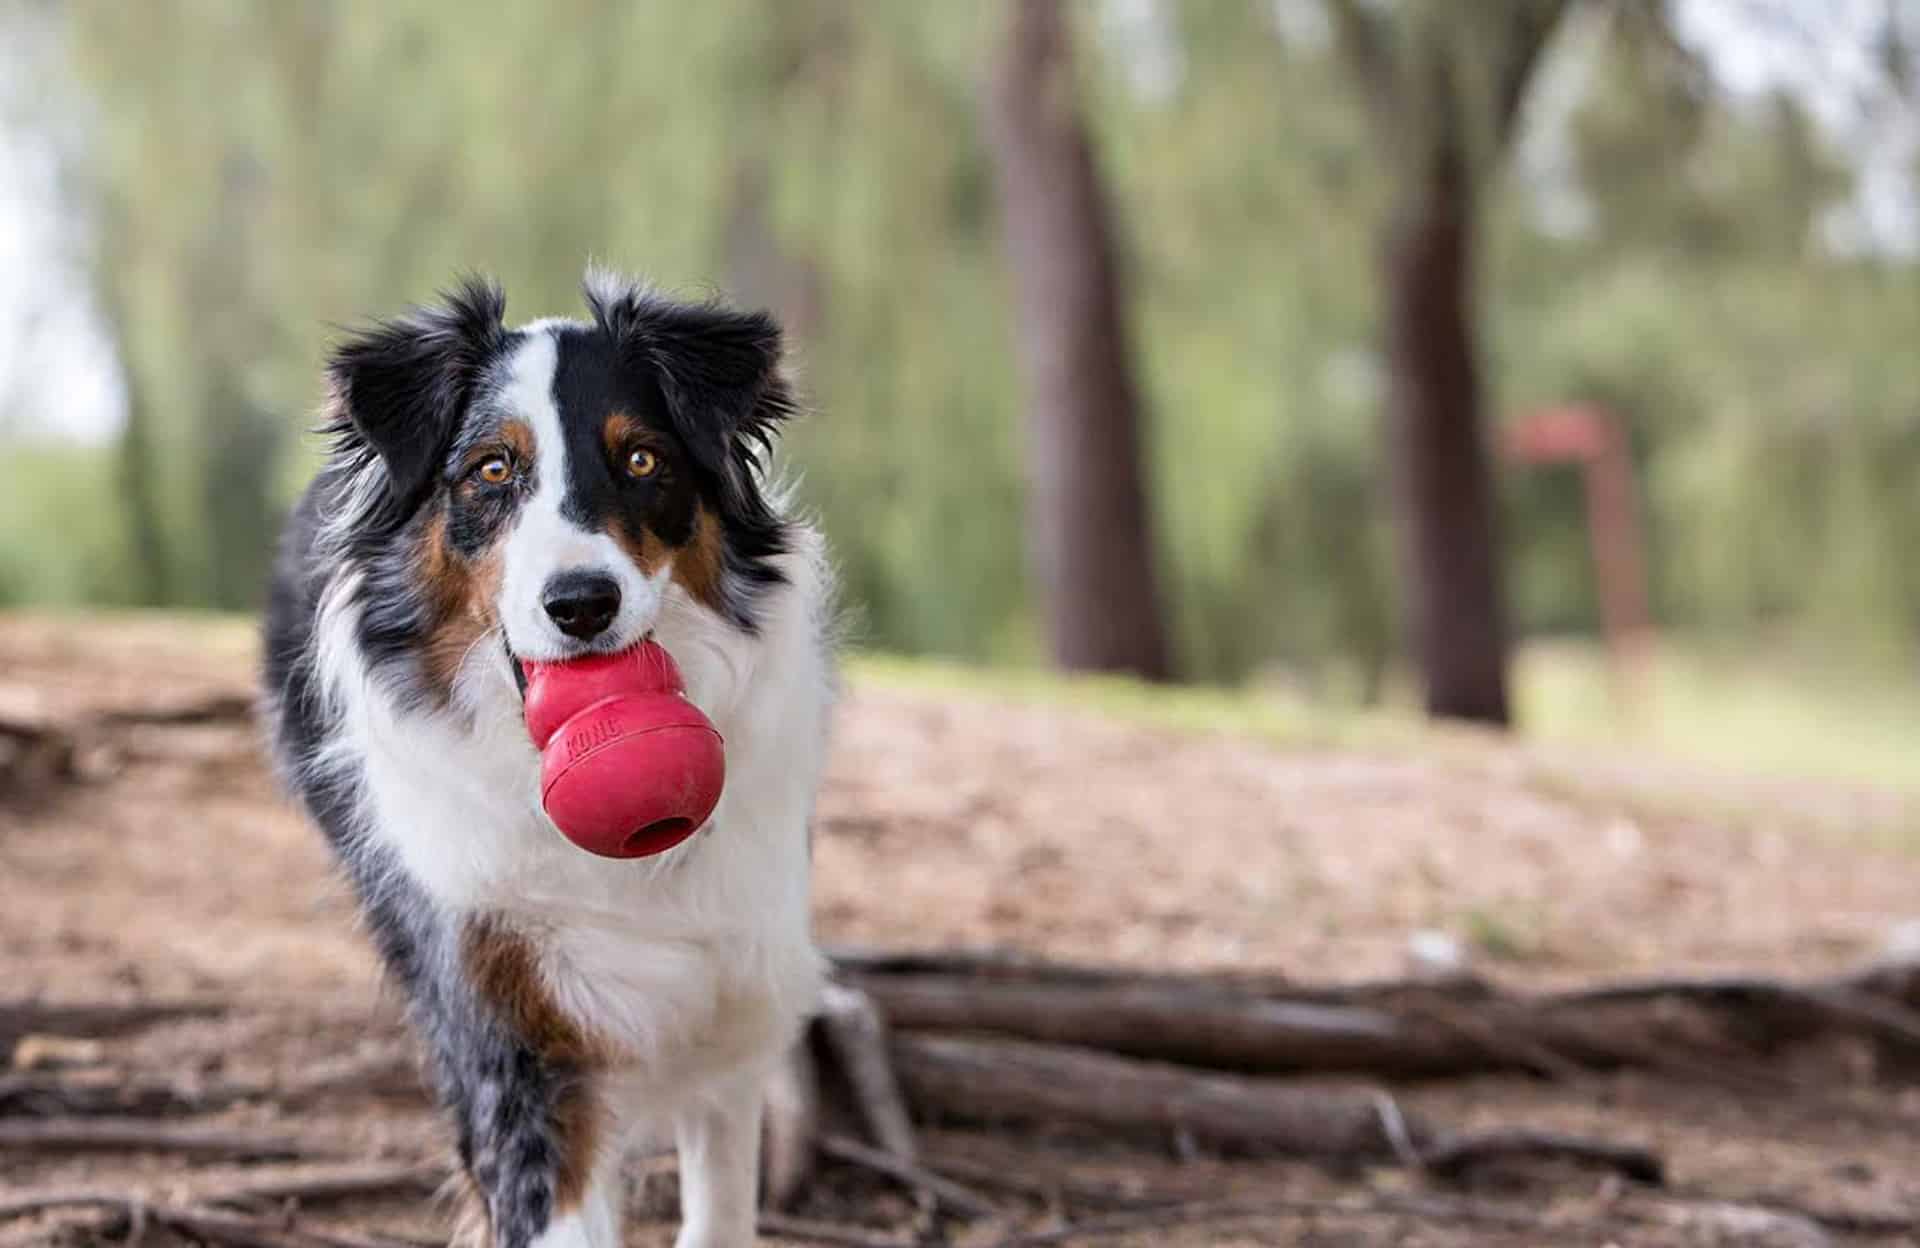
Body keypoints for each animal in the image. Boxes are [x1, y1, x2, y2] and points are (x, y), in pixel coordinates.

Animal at [263, 272, 833, 1244]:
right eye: (493, 470)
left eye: (641, 461)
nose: (581, 603)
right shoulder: (515, 1040)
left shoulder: (733, 999)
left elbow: (720, 1202)